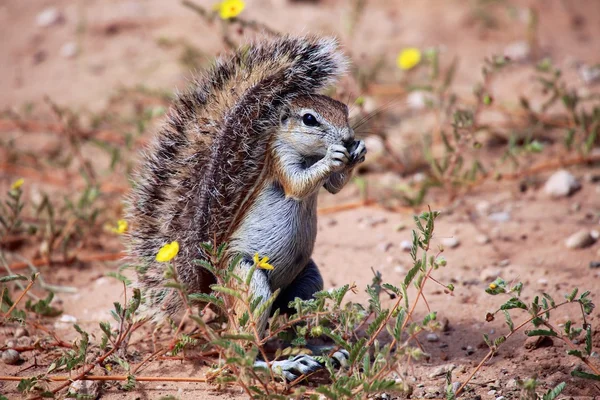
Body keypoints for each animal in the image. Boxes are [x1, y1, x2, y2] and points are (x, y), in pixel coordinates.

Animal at [126, 36, 366, 380]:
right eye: (309, 119)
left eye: (344, 109)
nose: (347, 138)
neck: (307, 152)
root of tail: (214, 293)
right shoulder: (280, 163)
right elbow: (299, 184)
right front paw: (333, 156)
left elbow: (334, 187)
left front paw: (357, 151)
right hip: (249, 280)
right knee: (238, 350)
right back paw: (280, 366)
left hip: (307, 283)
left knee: (289, 328)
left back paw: (321, 353)